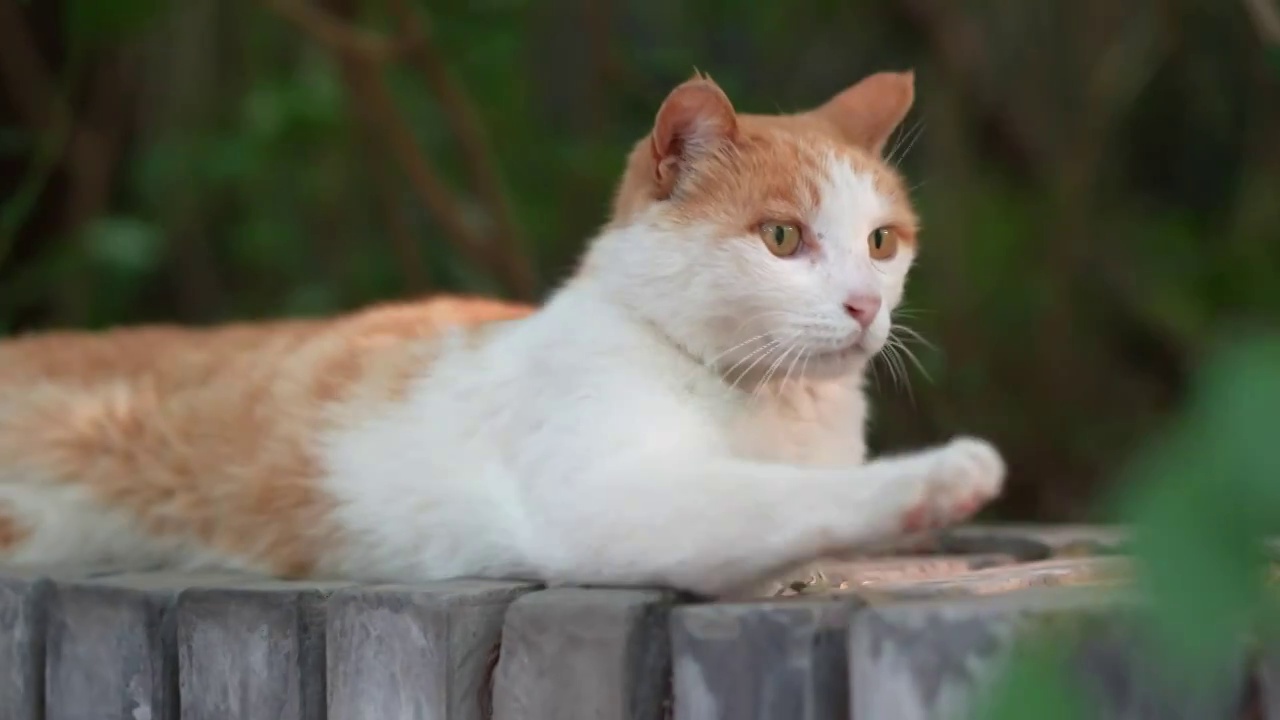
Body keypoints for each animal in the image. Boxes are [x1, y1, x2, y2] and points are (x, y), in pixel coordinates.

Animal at [0, 68, 1003, 594]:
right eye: (784, 238)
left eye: (881, 242)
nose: (865, 305)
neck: (774, 407)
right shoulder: (604, 501)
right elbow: (781, 502)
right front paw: (937, 478)